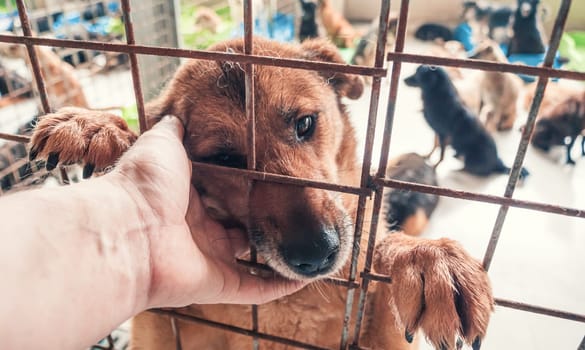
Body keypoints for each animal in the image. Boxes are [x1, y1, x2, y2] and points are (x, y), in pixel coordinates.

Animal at [27, 37, 492, 348]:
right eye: (226, 159)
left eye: (305, 123)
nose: (316, 254)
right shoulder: (164, 329)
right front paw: (100, 128)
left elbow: (381, 254)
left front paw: (427, 258)